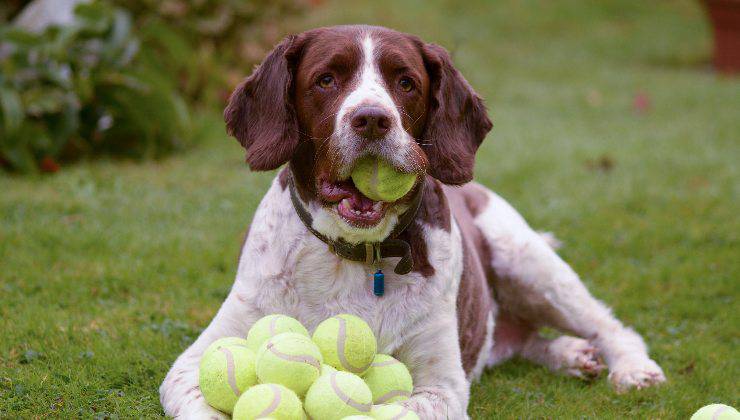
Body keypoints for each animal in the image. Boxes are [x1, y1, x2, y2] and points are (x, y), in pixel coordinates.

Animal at [158, 24, 664, 418]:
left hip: (527, 261)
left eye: (405, 82)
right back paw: (570, 354)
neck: (352, 253)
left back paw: (631, 368)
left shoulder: (441, 385)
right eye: (326, 79)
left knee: (608, 325)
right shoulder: (196, 359)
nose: (372, 119)